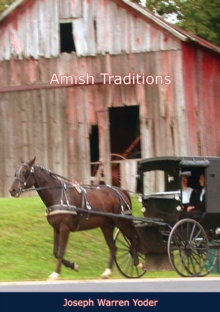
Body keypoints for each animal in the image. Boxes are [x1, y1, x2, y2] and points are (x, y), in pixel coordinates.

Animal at [9, 157, 143, 280]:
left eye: (25, 172)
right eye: (16, 172)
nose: (12, 190)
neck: (58, 194)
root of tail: (121, 191)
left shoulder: (64, 228)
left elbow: (61, 251)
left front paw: (56, 273)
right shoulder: (56, 228)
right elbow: (56, 252)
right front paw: (73, 266)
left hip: (122, 222)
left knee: (134, 239)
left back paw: (138, 263)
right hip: (106, 226)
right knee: (113, 247)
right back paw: (107, 272)